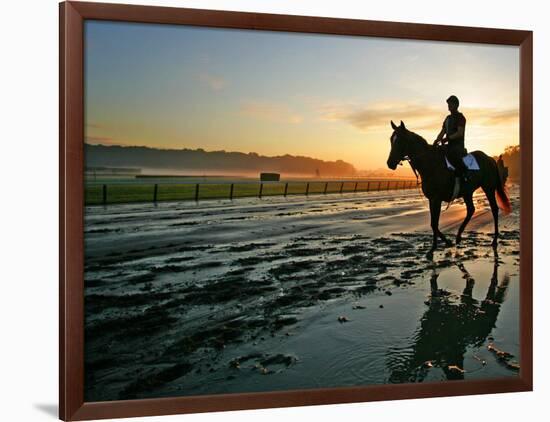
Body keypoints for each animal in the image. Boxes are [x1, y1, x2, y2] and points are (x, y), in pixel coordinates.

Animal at [388, 120, 512, 256]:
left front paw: (433, 248)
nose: (390, 163)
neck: (430, 163)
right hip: (467, 192)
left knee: (494, 209)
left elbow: (434, 223)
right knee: (471, 210)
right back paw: (458, 236)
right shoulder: (432, 199)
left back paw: (494, 240)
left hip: (488, 188)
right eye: (391, 139)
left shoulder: (436, 199)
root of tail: (489, 158)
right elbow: (433, 223)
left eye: (400, 140)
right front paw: (445, 242)